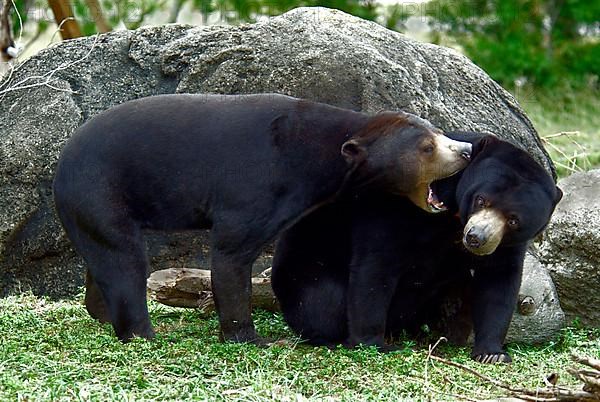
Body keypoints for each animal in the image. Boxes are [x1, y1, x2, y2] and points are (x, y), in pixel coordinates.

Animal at [54, 93, 472, 342]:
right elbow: (230, 255)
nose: (466, 150)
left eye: (439, 133)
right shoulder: (255, 187)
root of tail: (61, 166)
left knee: (103, 258)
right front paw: (250, 337)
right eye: (428, 147)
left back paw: (101, 314)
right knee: (125, 260)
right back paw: (141, 332)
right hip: (101, 192)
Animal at [272, 131, 564, 362]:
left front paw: (492, 353)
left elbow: (498, 280)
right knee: (324, 302)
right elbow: (377, 265)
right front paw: (373, 343)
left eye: (514, 220)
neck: (454, 215)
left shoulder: (504, 244)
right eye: (481, 199)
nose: (476, 238)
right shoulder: (398, 205)